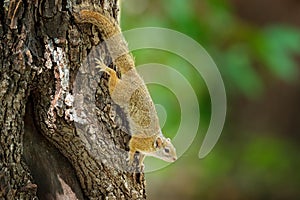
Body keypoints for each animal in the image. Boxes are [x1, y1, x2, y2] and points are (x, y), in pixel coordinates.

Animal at [74, 9, 177, 166]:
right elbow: (133, 146)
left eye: (174, 149)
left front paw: (140, 163)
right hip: (120, 93)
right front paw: (131, 157)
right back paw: (106, 69)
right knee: (113, 79)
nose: (175, 158)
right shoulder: (139, 141)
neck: (152, 145)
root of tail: (133, 74)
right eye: (166, 150)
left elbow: (142, 156)